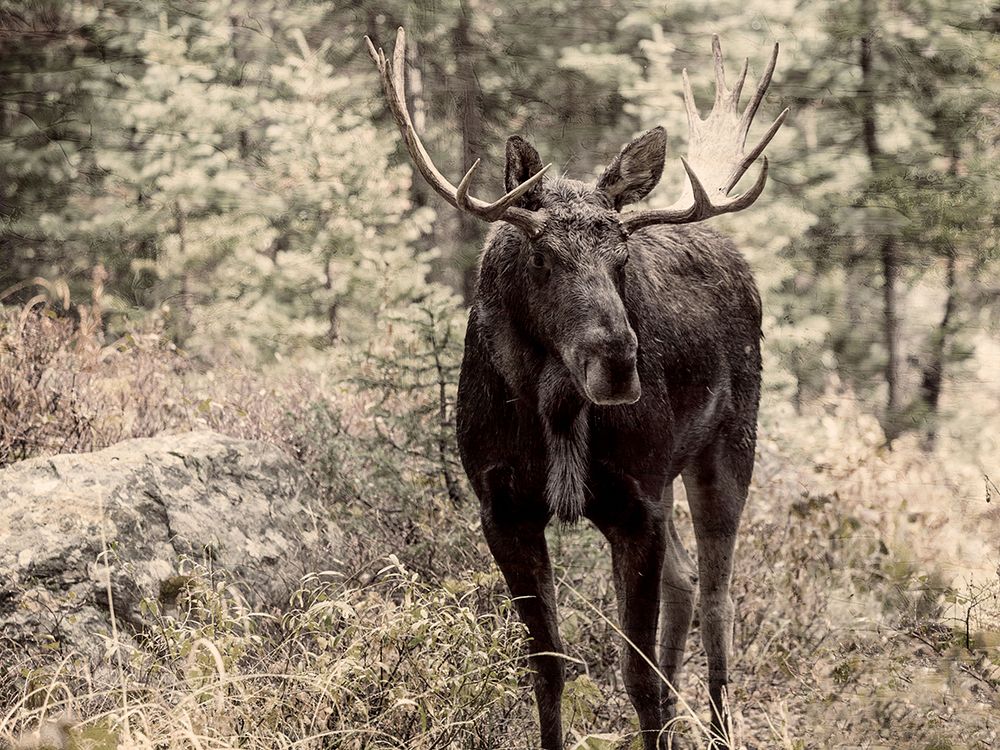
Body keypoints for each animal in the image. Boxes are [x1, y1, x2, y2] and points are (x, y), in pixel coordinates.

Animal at [366, 28, 787, 750]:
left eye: (622, 261)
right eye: (542, 258)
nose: (618, 362)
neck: (556, 414)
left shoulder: (637, 501)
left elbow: (636, 674)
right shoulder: (501, 505)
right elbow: (549, 665)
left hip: (728, 444)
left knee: (717, 600)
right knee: (685, 581)